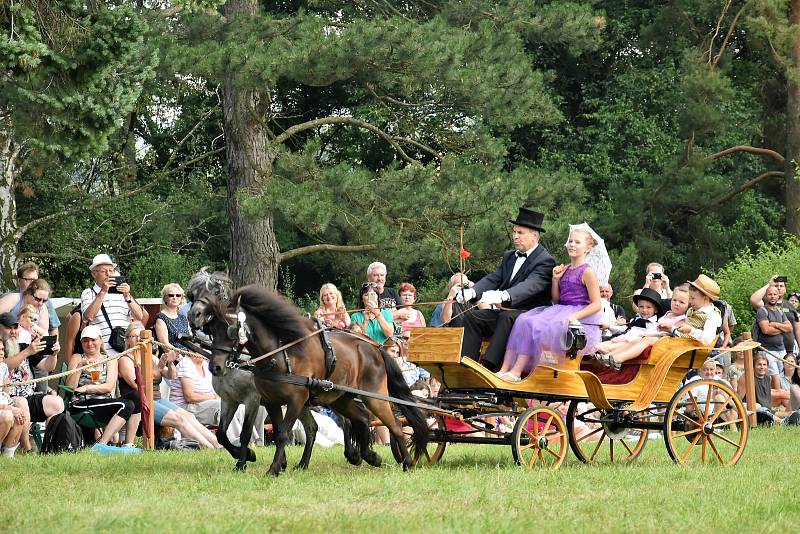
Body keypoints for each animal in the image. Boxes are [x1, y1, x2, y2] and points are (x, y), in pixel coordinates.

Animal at [205, 286, 432, 476]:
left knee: (394, 425)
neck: (281, 355)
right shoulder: (270, 402)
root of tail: (375, 348)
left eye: (230, 329)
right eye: (211, 329)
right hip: (340, 398)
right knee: (361, 419)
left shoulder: (294, 400)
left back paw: (407, 462)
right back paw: (368, 456)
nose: (215, 367)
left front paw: (273, 468)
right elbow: (277, 432)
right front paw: (276, 464)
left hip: (375, 397)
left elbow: (283, 434)